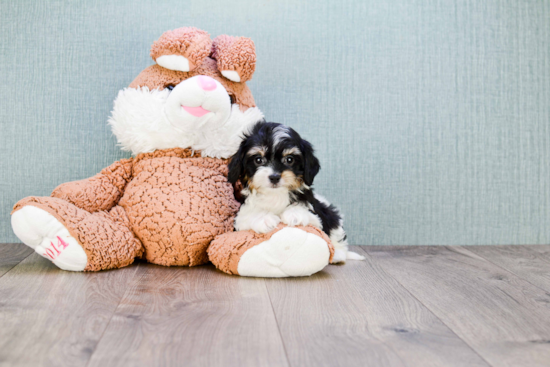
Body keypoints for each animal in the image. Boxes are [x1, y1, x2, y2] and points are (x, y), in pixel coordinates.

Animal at [229, 122, 366, 264]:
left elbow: (306, 212)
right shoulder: (240, 219)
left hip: (330, 214)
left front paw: (294, 214)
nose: (274, 177)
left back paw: (337, 255)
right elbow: (249, 213)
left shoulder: (316, 216)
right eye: (258, 160)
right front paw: (265, 219)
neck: (275, 194)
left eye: (289, 160)